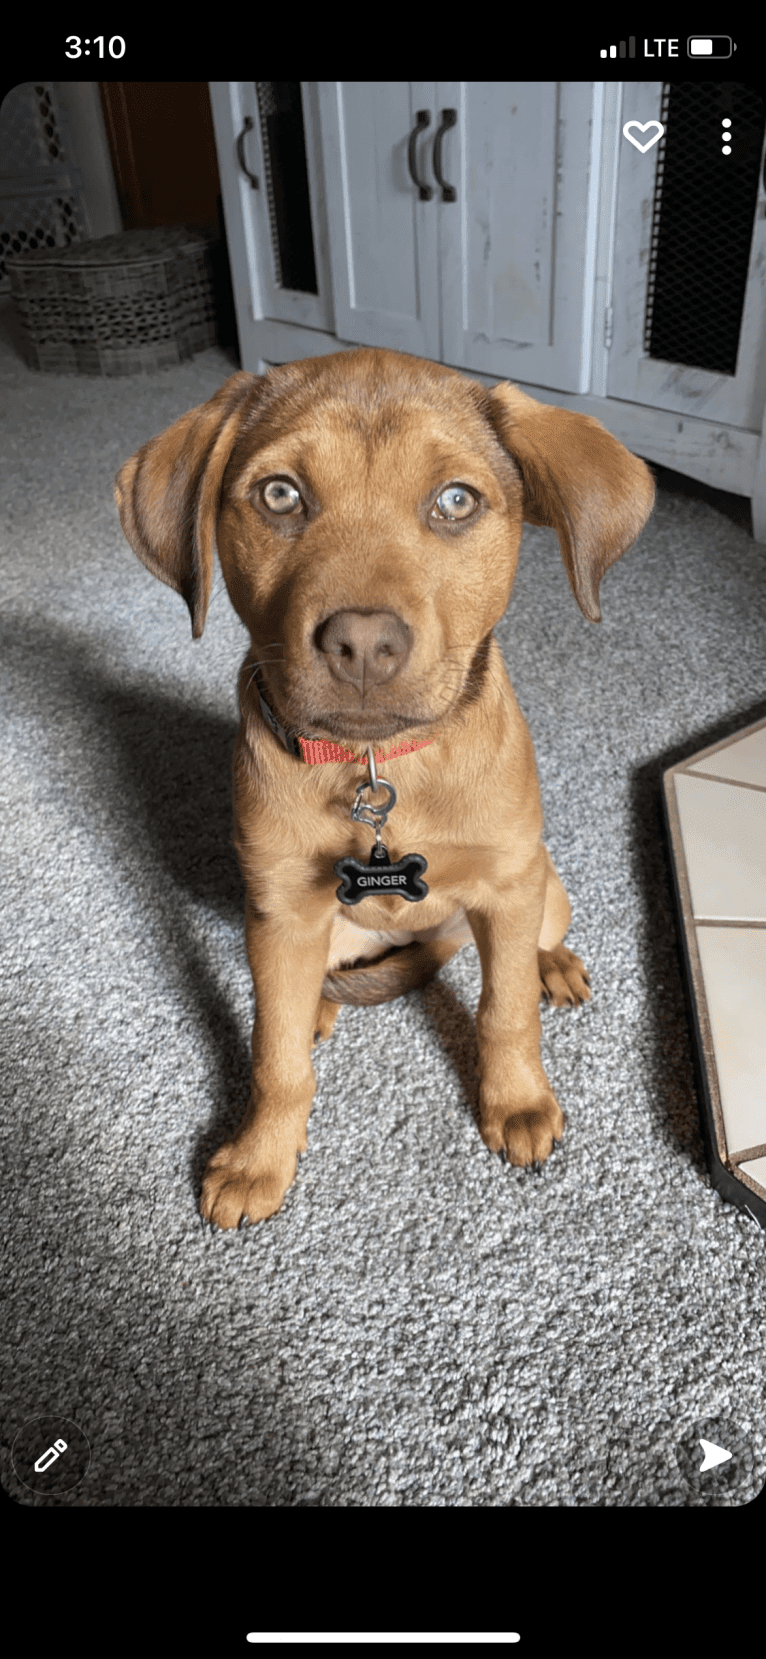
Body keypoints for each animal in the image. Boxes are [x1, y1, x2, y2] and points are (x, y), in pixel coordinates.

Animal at [113, 350, 653, 1227]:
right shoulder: (281, 909)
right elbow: (273, 1054)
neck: (381, 765)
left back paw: (555, 965)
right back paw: (319, 1008)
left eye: (456, 500)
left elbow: (505, 1012)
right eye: (280, 494)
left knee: (531, 948)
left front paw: (517, 1102)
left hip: (546, 886)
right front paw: (260, 1154)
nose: (363, 644)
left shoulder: (509, 885)